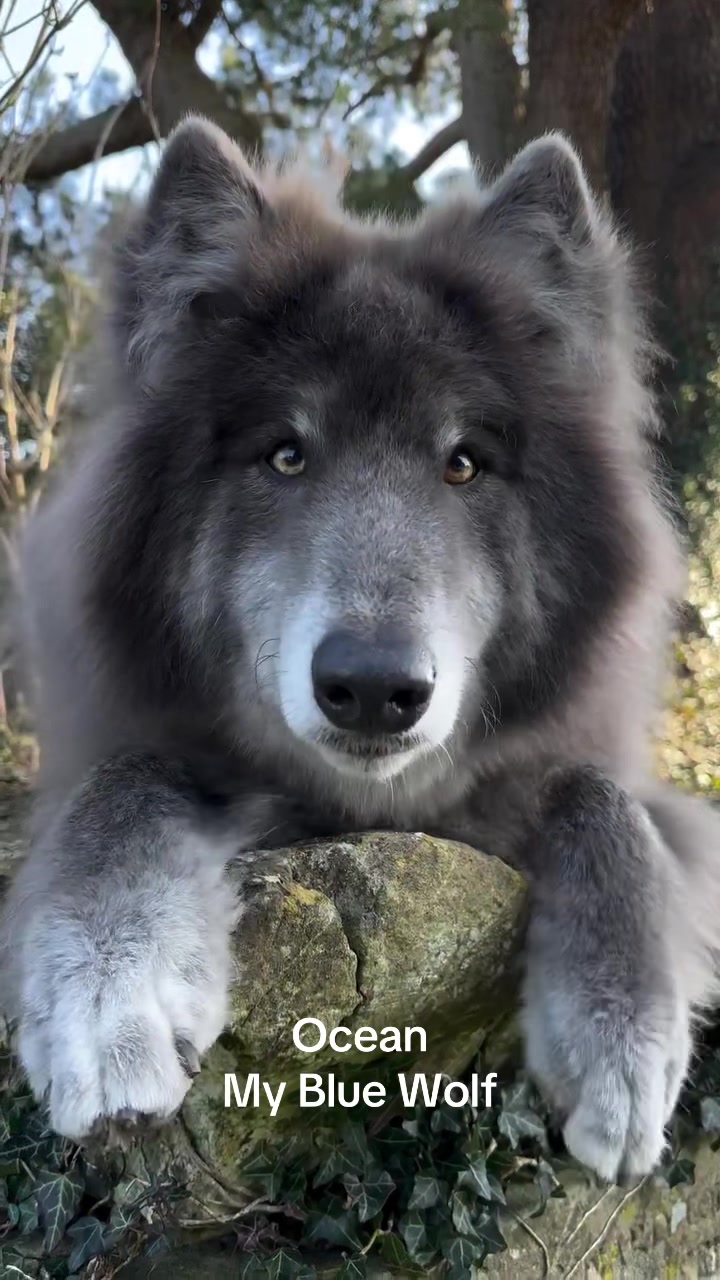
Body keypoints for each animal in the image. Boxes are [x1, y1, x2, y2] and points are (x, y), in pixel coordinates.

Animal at [2, 116, 719, 1184]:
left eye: (463, 462)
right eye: (286, 455)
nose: (376, 688)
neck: (359, 811)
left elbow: (607, 803)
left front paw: (626, 1036)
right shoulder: (127, 755)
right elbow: (120, 790)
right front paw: (106, 999)